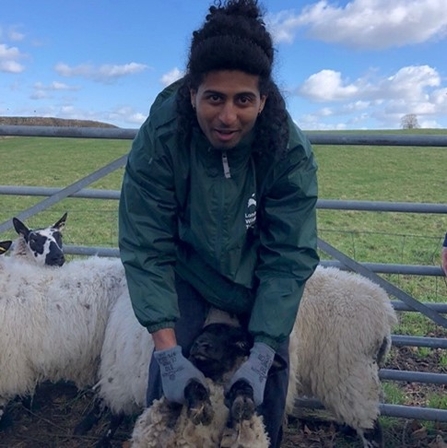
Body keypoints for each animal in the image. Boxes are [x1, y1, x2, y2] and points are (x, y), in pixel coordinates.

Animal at [130, 324, 270, 448]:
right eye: (204, 330)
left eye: (241, 343)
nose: (201, 343)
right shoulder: (160, 423)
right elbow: (190, 382)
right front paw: (200, 404)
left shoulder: (244, 437)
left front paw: (243, 397)